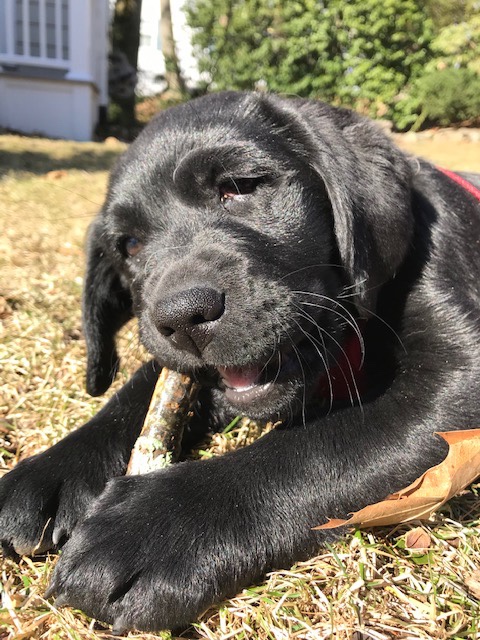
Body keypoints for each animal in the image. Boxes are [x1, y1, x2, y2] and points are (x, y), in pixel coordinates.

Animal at [0, 92, 480, 632]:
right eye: (131, 245)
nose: (182, 317)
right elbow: (138, 388)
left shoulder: (456, 377)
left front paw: (155, 529)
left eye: (240, 187)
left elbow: (317, 449)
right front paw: (52, 470)